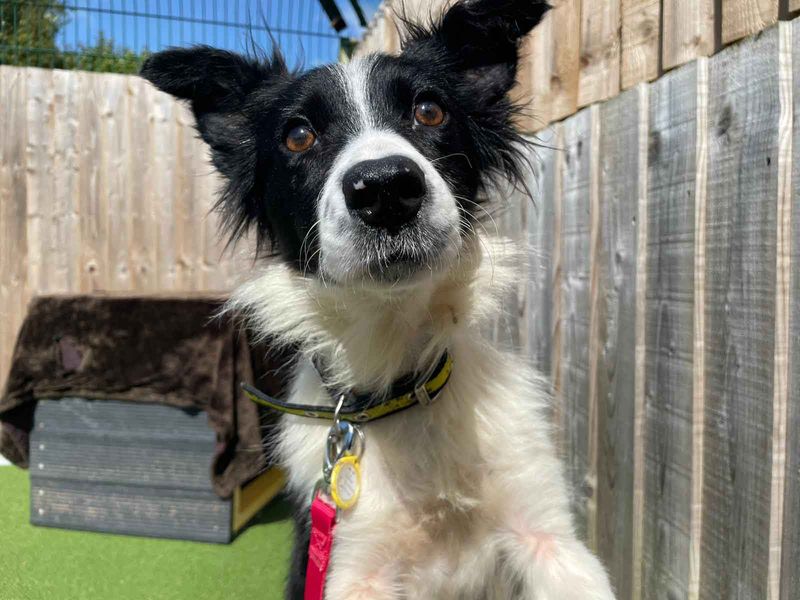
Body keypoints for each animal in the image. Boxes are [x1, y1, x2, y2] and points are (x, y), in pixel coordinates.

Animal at [141, 2, 616, 596]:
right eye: (298, 136)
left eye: (430, 111)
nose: (387, 188)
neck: (398, 388)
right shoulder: (350, 567)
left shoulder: (551, 541)